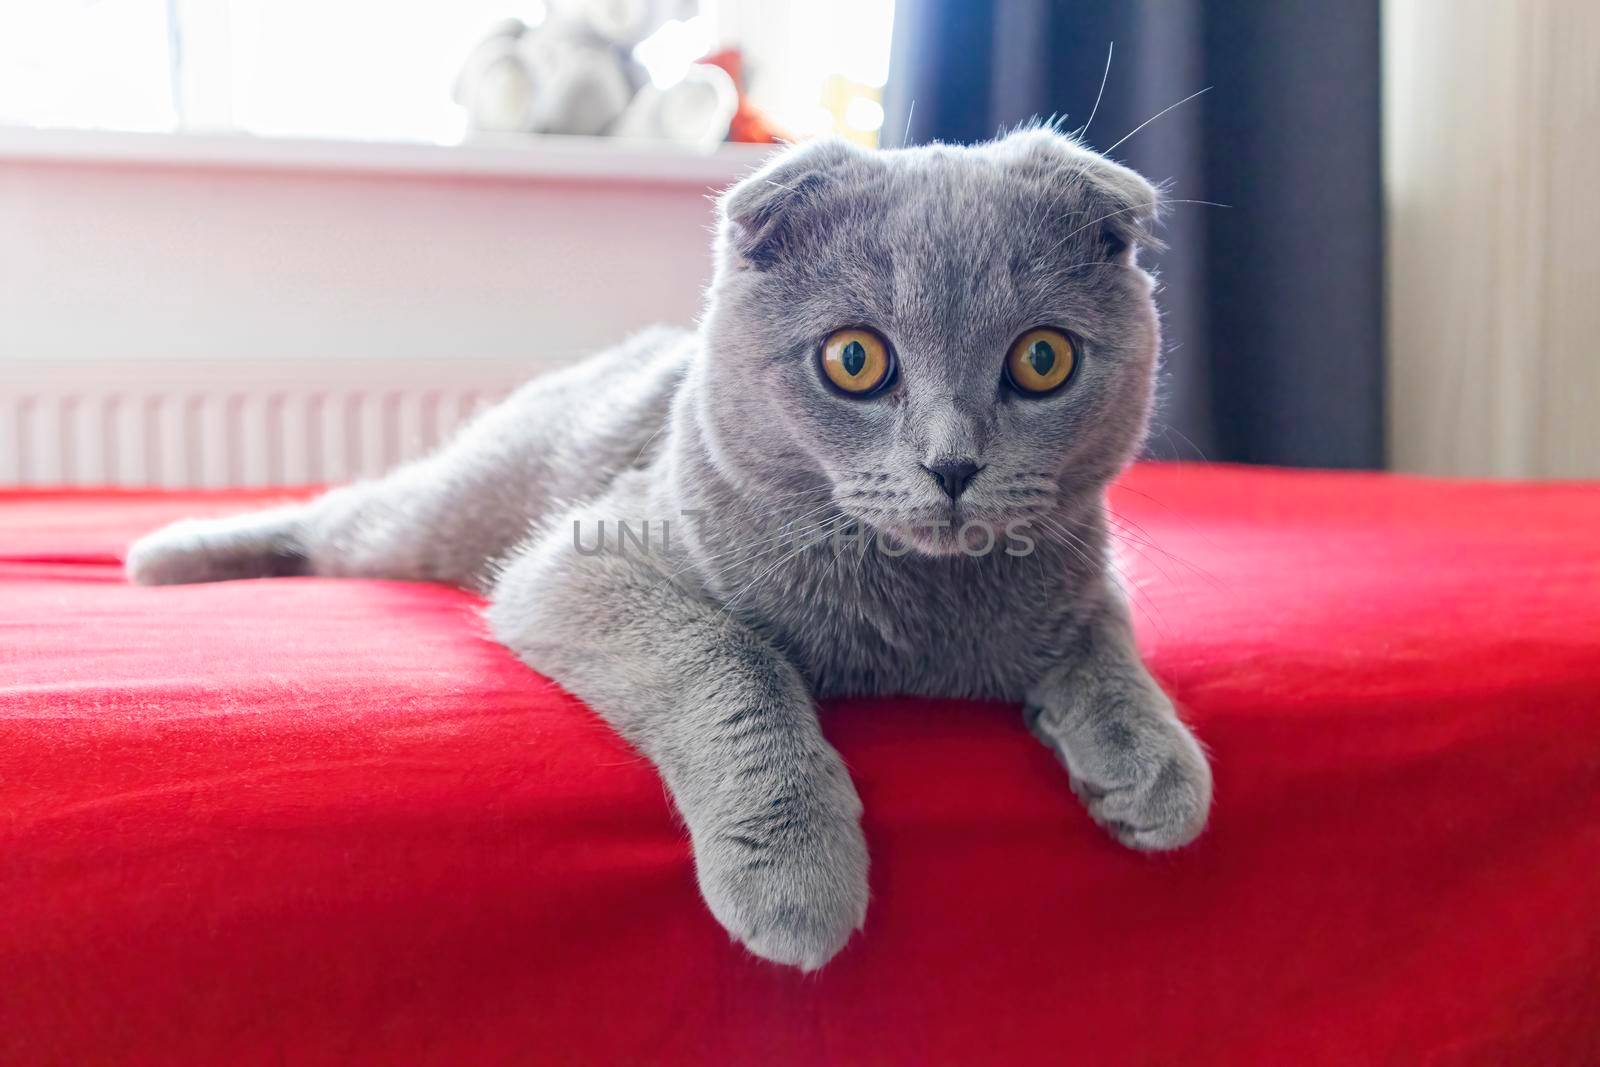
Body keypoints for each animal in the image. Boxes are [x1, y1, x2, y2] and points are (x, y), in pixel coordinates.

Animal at [131, 129, 1209, 972]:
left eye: (1043, 358)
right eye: (854, 359)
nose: (951, 465)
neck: (913, 618)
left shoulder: (1085, 562)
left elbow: (1102, 636)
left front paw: (1152, 766)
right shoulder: (579, 566)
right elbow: (728, 654)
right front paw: (794, 871)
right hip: (443, 516)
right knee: (339, 516)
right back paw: (160, 555)